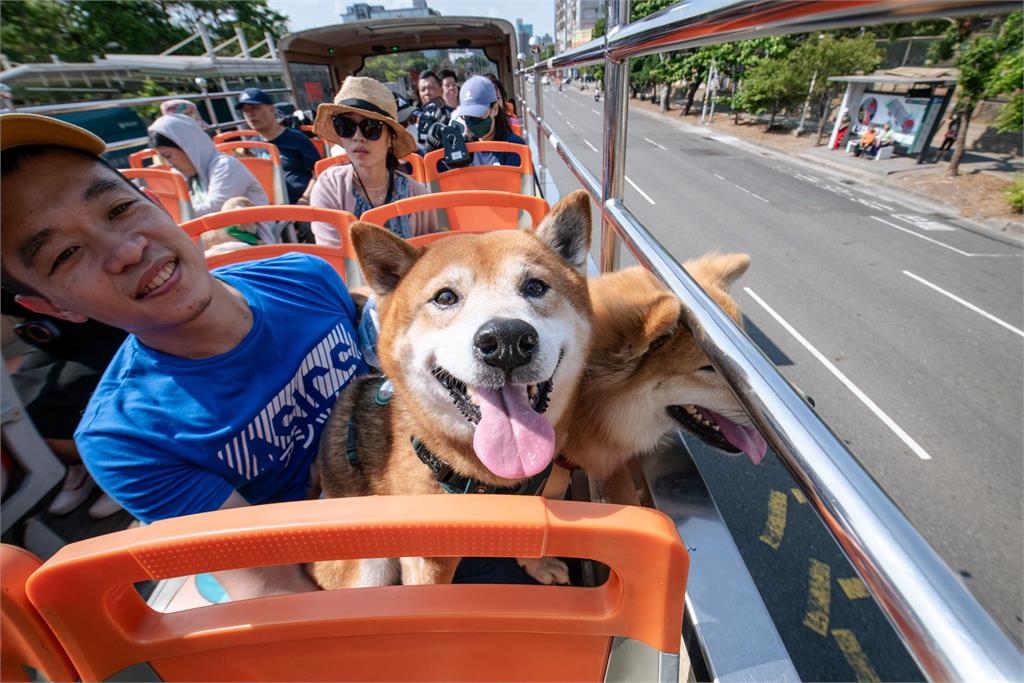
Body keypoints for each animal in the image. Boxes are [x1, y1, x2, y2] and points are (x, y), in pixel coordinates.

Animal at [313, 191, 593, 589]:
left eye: (535, 287)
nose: (507, 341)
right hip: (368, 568)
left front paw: (536, 564)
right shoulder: (429, 558)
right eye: (445, 297)